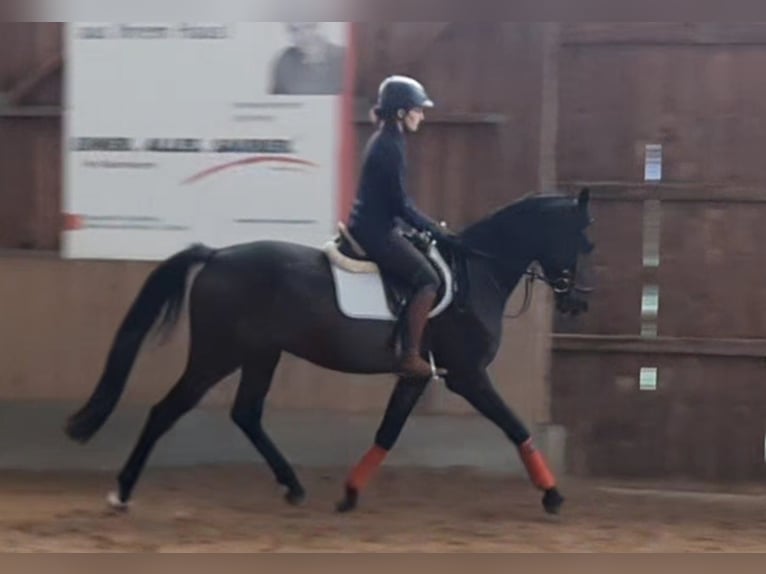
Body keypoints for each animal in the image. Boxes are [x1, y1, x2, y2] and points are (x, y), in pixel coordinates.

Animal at [64, 187, 594, 516]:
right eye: (584, 240)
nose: (579, 303)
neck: (475, 273)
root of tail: (216, 256)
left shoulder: (416, 375)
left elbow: (388, 432)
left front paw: (349, 493)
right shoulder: (467, 375)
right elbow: (515, 426)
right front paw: (553, 496)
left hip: (261, 353)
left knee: (246, 414)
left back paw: (294, 487)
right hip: (217, 354)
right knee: (166, 411)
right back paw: (121, 493)